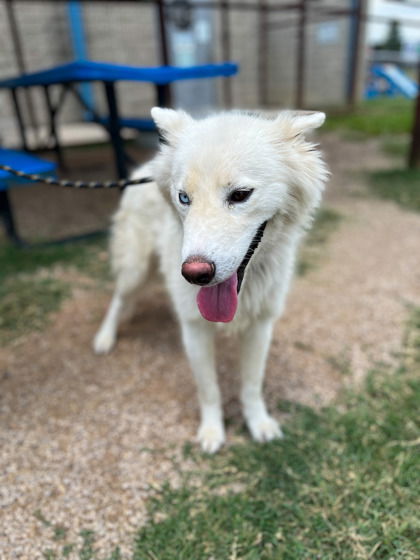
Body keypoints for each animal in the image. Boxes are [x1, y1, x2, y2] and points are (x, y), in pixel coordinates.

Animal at [94, 107, 328, 452]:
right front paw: (212, 432)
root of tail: (145, 167)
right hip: (135, 267)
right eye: (184, 197)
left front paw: (259, 424)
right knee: (118, 298)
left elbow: (251, 384)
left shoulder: (261, 326)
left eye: (240, 195)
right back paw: (105, 337)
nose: (195, 274)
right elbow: (209, 390)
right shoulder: (195, 330)